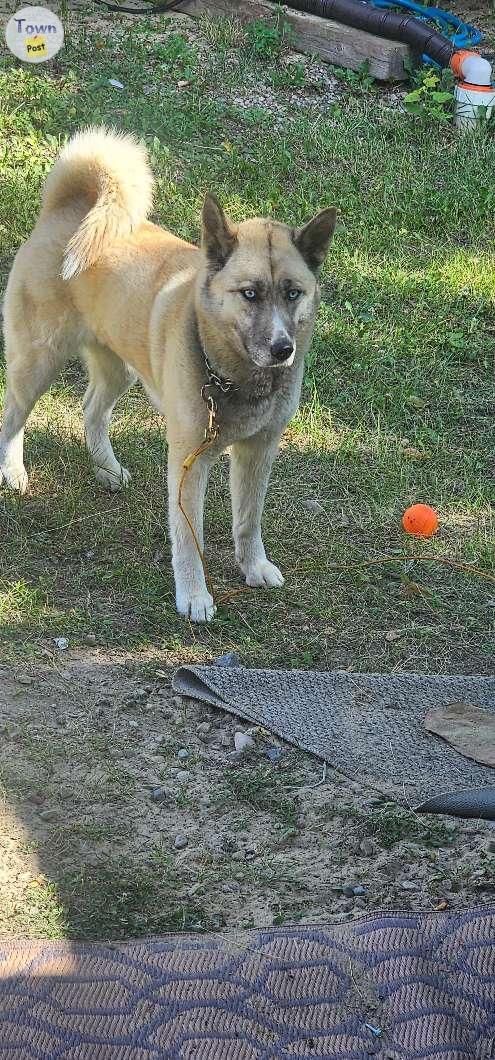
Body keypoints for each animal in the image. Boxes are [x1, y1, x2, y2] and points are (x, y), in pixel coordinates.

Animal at [0, 128, 337, 619]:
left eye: (293, 292)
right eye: (250, 293)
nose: (282, 350)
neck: (231, 375)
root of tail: (67, 207)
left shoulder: (259, 450)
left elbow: (248, 520)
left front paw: (254, 566)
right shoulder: (187, 462)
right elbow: (189, 539)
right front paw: (194, 596)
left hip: (119, 367)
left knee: (91, 410)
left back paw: (107, 467)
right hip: (38, 361)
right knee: (12, 416)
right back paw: (14, 472)